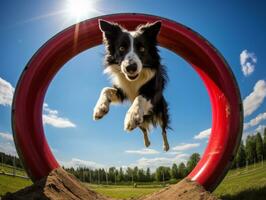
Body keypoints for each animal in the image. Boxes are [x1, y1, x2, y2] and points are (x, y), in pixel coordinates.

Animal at [92, 19, 169, 151]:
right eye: (122, 48)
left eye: (142, 49)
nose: (130, 67)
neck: (134, 80)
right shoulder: (122, 91)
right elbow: (105, 89)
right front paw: (100, 108)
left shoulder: (154, 91)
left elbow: (140, 97)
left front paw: (132, 115)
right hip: (143, 122)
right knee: (143, 129)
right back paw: (147, 143)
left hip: (161, 112)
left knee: (163, 129)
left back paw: (166, 146)